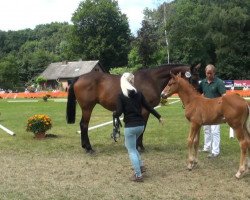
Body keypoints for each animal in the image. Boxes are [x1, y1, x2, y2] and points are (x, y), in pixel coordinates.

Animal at [66, 63, 199, 153]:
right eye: (193, 78)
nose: (198, 95)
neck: (151, 79)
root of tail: (79, 77)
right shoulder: (145, 110)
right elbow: (142, 127)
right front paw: (139, 146)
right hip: (87, 108)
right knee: (84, 125)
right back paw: (89, 148)